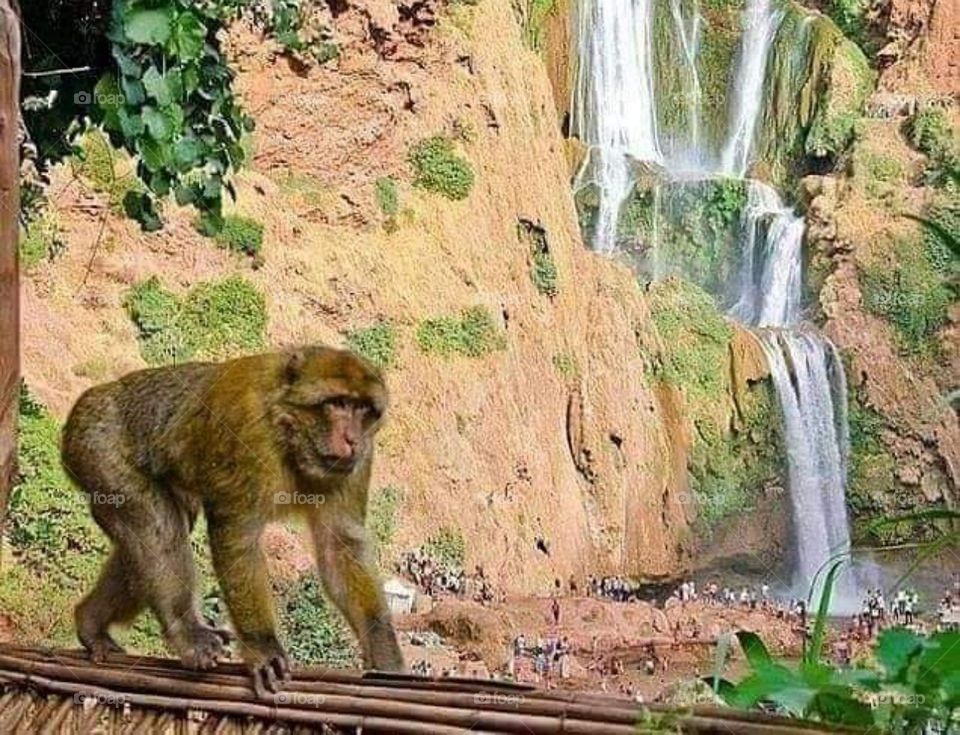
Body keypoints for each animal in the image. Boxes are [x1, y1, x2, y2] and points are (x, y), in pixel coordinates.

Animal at [61, 345, 405, 696]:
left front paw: (385, 656)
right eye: (337, 403)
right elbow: (237, 536)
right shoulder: (246, 429)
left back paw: (90, 624)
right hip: (99, 449)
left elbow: (341, 545)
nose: (352, 439)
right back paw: (188, 632)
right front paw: (263, 647)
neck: (290, 430)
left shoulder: (361, 459)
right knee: (157, 528)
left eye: (363, 409)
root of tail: (94, 396)